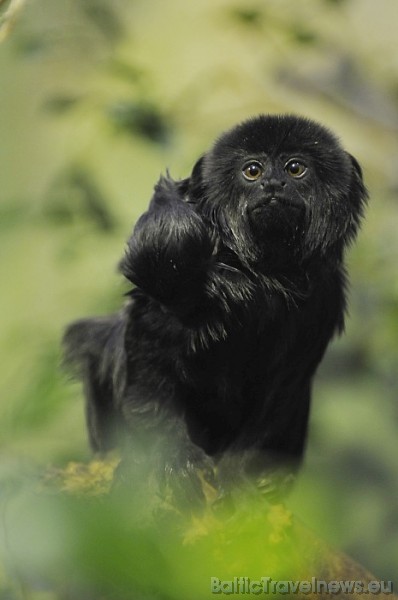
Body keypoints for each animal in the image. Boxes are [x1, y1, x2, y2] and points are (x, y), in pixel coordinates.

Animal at [63, 113, 366, 506]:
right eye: (252, 171)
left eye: (295, 168)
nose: (272, 184)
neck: (265, 275)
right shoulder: (162, 290)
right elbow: (148, 362)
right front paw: (175, 457)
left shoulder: (323, 301)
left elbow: (282, 389)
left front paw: (239, 477)